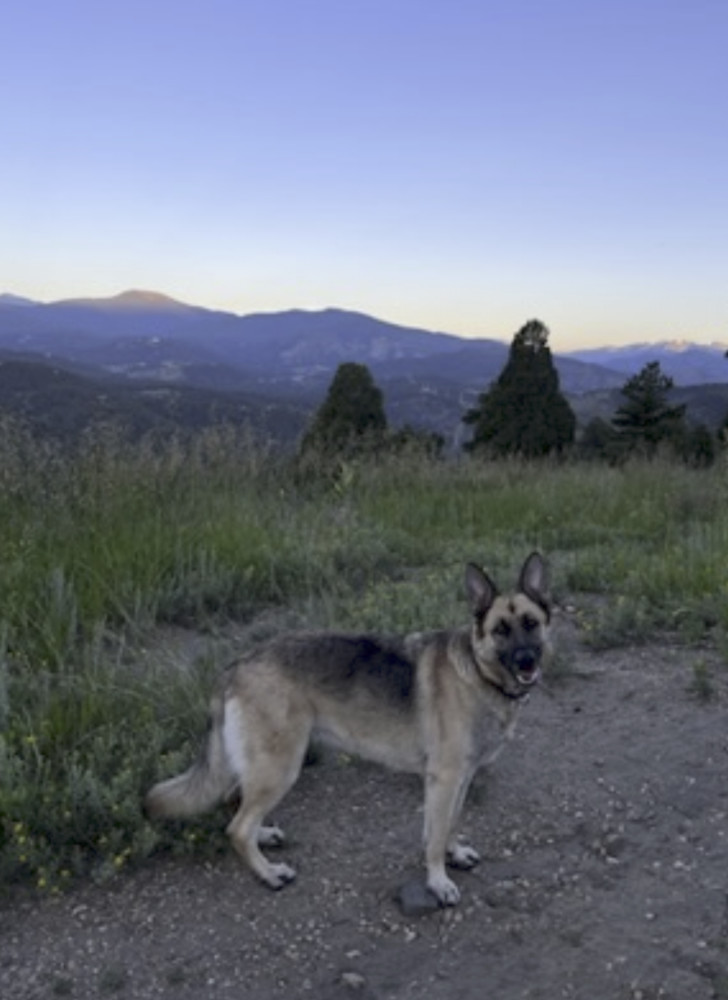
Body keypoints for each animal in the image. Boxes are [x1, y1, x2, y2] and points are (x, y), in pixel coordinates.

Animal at [144, 556, 552, 908]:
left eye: (531, 623)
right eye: (500, 630)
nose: (526, 661)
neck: (480, 674)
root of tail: (236, 665)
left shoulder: (459, 780)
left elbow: (448, 825)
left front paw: (454, 854)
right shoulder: (445, 779)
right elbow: (435, 838)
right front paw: (438, 882)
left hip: (260, 765)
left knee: (235, 804)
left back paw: (264, 837)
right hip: (281, 767)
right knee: (237, 827)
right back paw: (269, 873)